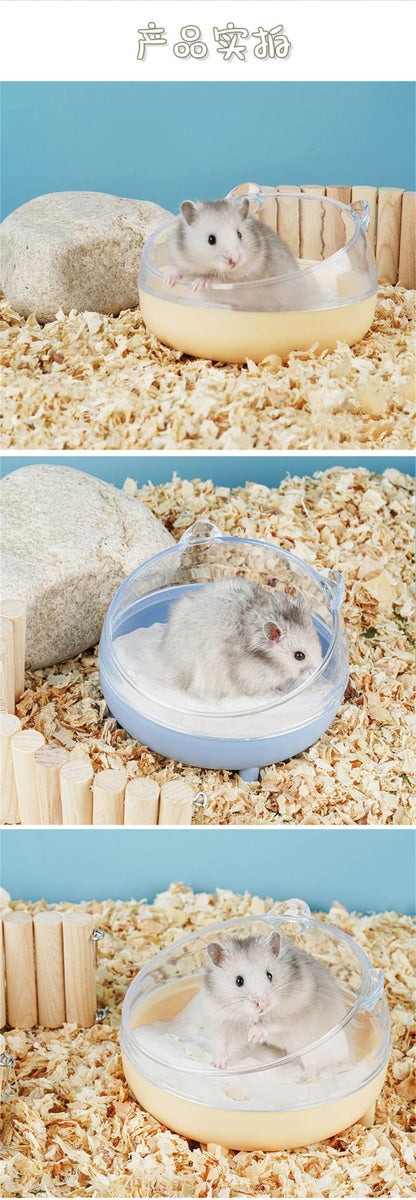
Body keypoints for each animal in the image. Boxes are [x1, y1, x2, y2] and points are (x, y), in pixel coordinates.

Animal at [163, 198, 316, 310]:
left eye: (239, 234)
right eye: (211, 239)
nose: (235, 261)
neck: (206, 267)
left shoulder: (242, 278)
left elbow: (215, 279)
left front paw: (198, 283)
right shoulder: (178, 257)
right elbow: (177, 270)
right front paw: (167, 280)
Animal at [202, 933, 349, 1072]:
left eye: (269, 975)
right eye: (239, 980)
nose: (262, 1004)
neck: (256, 1015)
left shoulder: (293, 1011)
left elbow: (273, 1023)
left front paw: (254, 1035)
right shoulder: (221, 1019)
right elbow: (221, 1042)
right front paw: (219, 1066)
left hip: (312, 1045)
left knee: (313, 1064)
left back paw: (304, 1077)